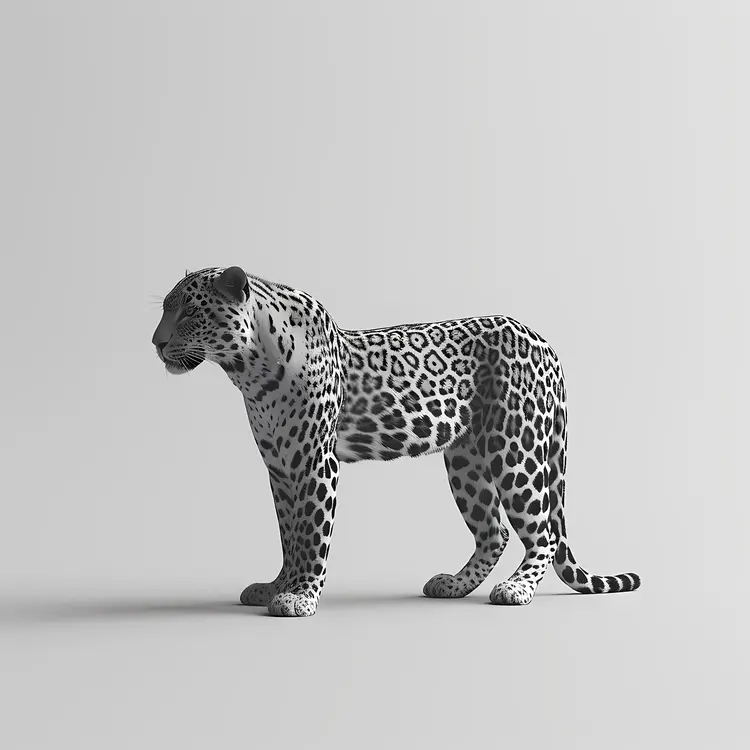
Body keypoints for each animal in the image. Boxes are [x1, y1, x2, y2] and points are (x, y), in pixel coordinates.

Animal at [152, 265, 641, 617]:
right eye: (166, 309)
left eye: (190, 312)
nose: (155, 342)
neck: (248, 369)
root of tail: (545, 341)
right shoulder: (280, 467)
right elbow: (289, 534)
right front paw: (277, 586)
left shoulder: (315, 462)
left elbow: (311, 535)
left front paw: (300, 596)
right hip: (466, 461)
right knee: (495, 531)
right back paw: (453, 585)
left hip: (515, 447)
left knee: (542, 532)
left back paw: (516, 588)